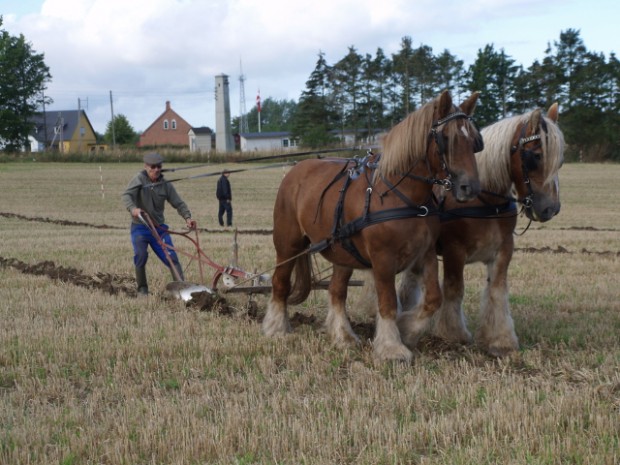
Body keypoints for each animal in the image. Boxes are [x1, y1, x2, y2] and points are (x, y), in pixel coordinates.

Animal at [262, 89, 484, 360]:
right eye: (446, 138)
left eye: (474, 141)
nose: (470, 187)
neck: (403, 195)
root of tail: (296, 170)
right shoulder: (383, 259)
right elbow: (387, 303)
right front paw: (392, 348)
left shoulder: (426, 253)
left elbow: (433, 298)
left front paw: (407, 330)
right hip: (288, 244)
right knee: (280, 283)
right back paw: (276, 328)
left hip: (342, 251)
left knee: (336, 291)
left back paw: (343, 336)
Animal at [360, 102, 564, 356]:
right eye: (535, 156)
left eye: (560, 161)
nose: (550, 208)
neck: (486, 200)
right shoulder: (454, 250)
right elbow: (455, 289)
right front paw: (453, 332)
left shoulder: (504, 249)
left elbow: (497, 290)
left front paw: (500, 339)